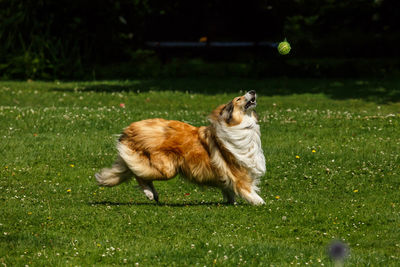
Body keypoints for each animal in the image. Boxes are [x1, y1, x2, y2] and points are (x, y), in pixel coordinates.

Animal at [95, 90, 268, 205]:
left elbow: (229, 190)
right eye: (238, 98)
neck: (241, 125)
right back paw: (149, 194)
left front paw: (232, 202)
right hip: (167, 168)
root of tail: (129, 129)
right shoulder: (239, 174)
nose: (253, 91)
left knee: (137, 172)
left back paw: (153, 194)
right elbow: (250, 192)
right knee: (139, 174)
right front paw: (262, 204)